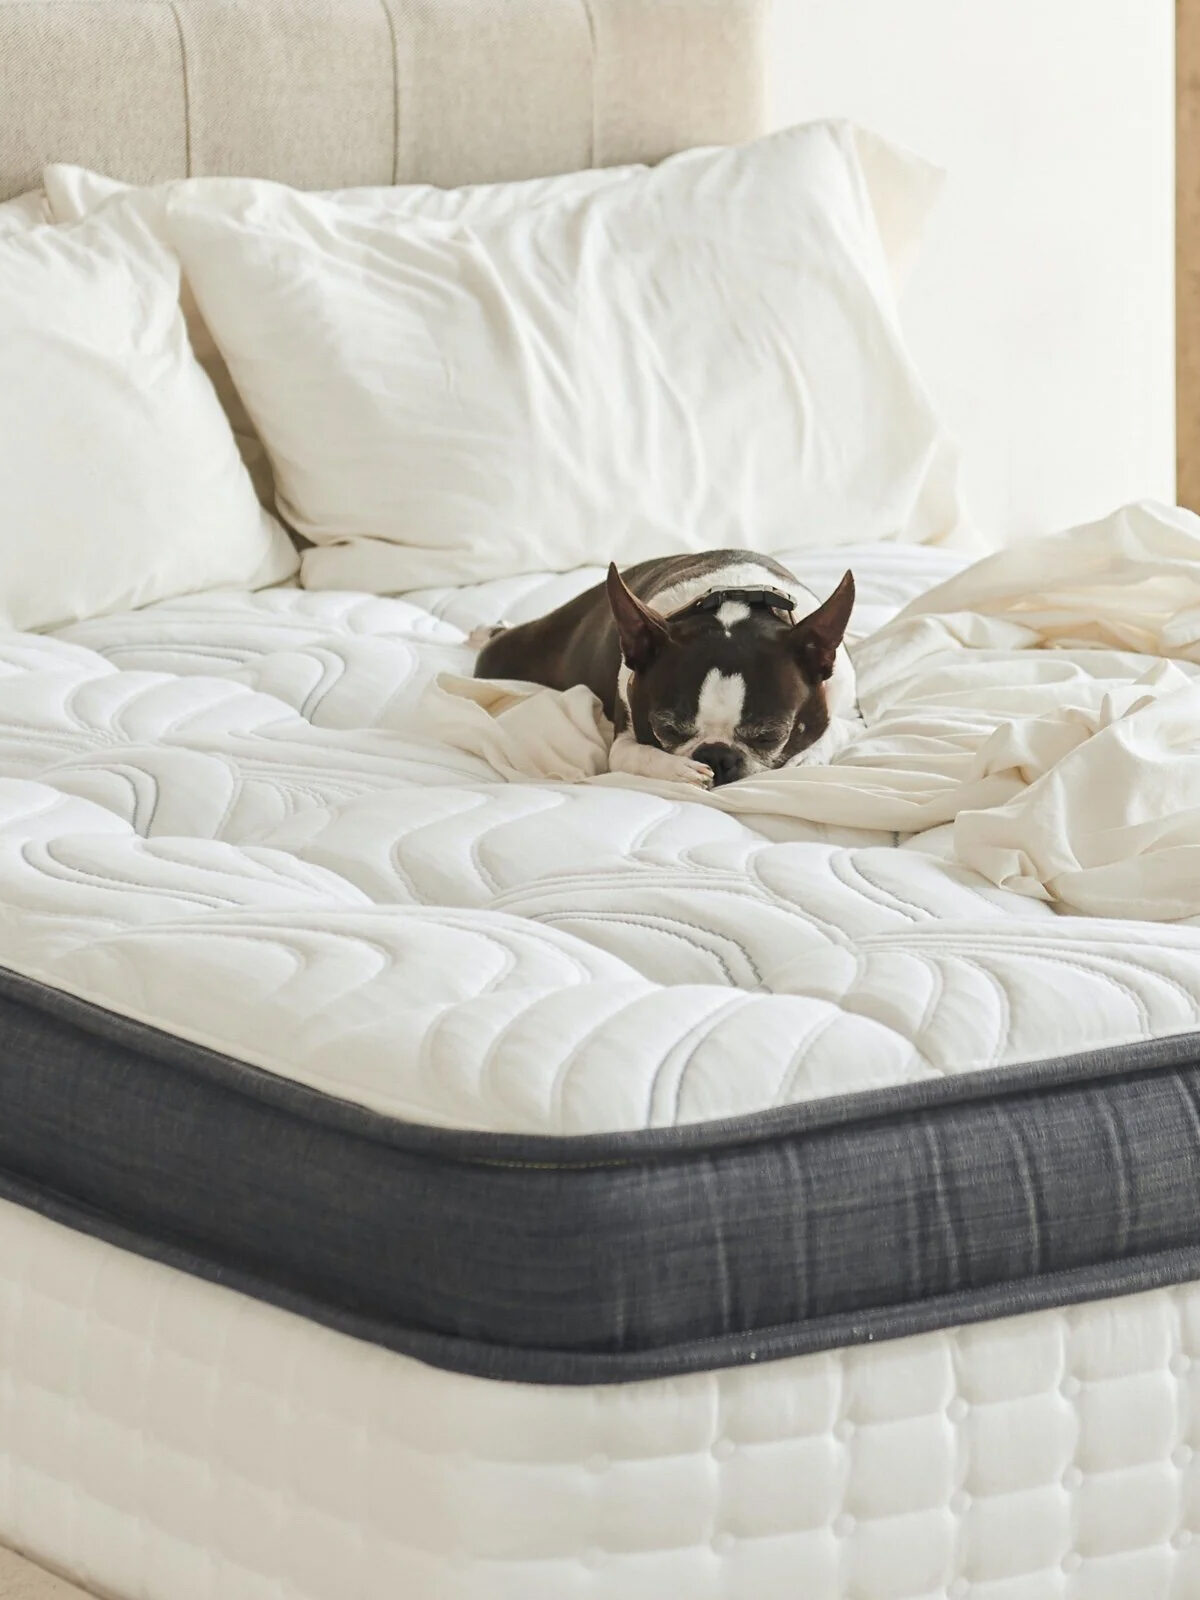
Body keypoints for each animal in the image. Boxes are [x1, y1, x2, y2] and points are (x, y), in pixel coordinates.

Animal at [470, 550, 857, 787]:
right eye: (667, 729)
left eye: (769, 737)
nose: (717, 757)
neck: (735, 597)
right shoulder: (623, 740)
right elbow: (637, 755)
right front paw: (680, 770)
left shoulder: (851, 711)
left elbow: (833, 729)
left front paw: (804, 759)